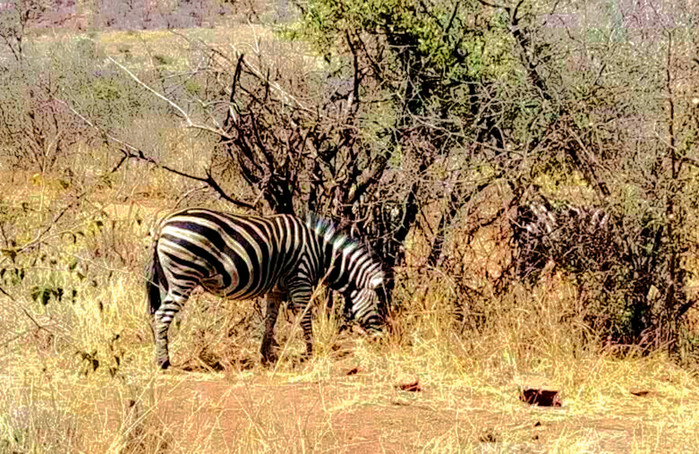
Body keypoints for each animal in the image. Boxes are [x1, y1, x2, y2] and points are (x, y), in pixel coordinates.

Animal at [145, 208, 386, 368]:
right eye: (376, 304)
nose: (381, 338)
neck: (321, 254)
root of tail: (164, 224)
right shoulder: (301, 280)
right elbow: (305, 317)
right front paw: (310, 352)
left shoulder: (276, 289)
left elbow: (271, 319)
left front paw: (266, 355)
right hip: (183, 277)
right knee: (162, 316)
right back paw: (163, 362)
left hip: (166, 281)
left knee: (159, 315)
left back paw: (161, 353)